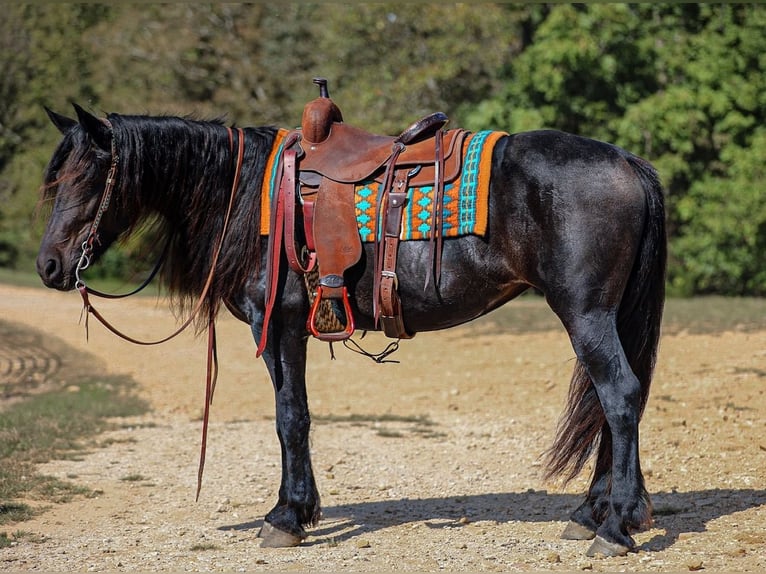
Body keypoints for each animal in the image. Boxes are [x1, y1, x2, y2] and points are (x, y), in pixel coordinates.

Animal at [36, 102, 666, 557]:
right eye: (56, 180)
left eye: (88, 177)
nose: (49, 266)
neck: (247, 193)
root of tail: (626, 161)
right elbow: (296, 416)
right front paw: (300, 509)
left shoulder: (280, 325)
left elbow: (291, 417)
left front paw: (286, 517)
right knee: (613, 404)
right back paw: (592, 513)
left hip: (586, 314)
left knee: (619, 397)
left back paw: (617, 525)